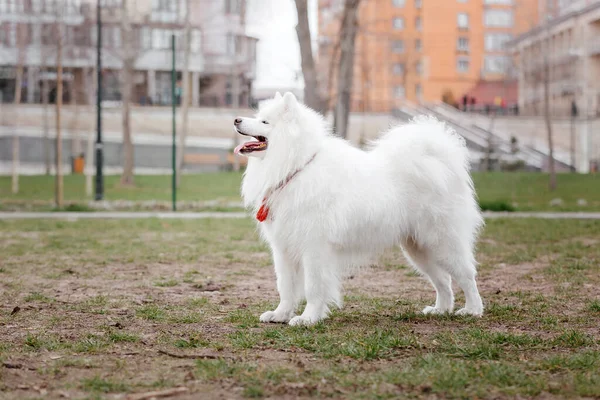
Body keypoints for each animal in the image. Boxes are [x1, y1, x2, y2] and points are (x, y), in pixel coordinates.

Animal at [232, 92, 486, 326]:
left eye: (264, 121)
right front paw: (280, 314)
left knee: (466, 276)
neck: (296, 167)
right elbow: (285, 287)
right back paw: (440, 310)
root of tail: (441, 162)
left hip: (442, 242)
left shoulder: (314, 248)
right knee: (443, 281)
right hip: (419, 249)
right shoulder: (284, 248)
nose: (236, 119)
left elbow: (313, 287)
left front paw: (308, 318)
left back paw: (472, 310)